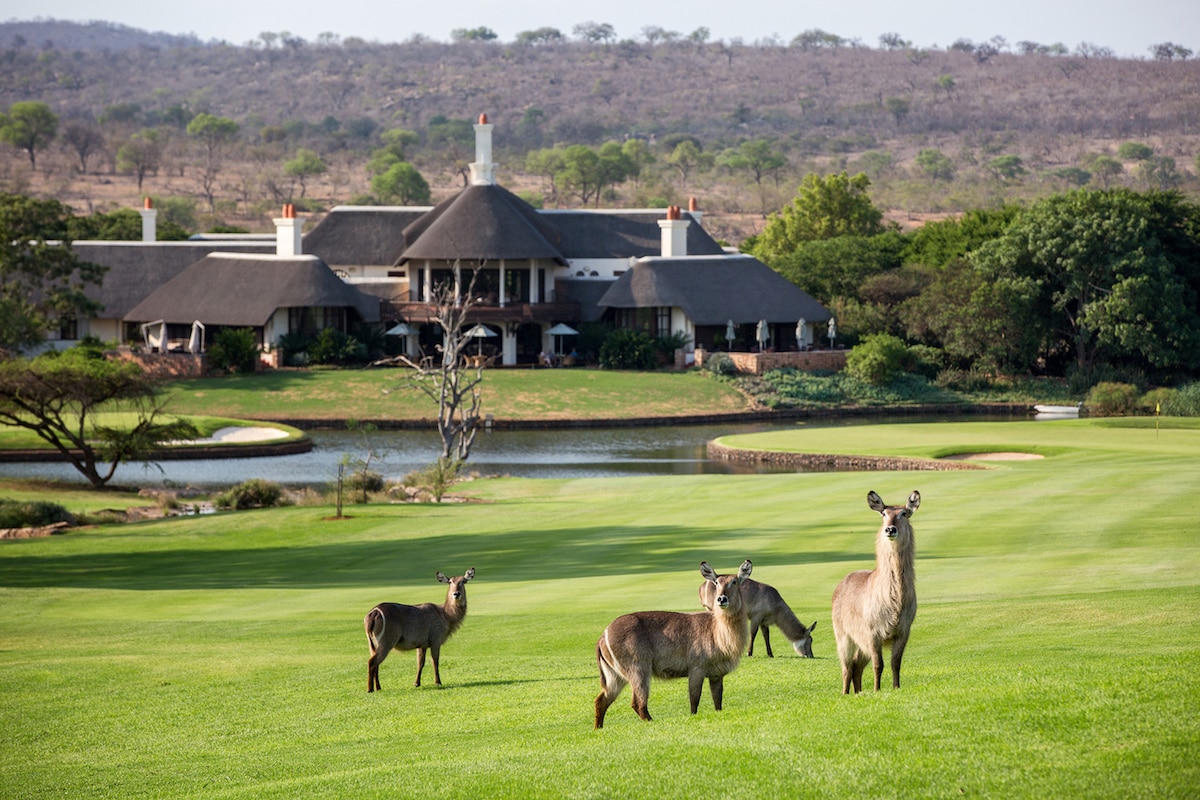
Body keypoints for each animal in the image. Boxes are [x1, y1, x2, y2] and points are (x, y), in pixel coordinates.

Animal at [592, 561, 748, 729]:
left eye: (735, 581)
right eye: (717, 582)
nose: (721, 599)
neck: (717, 632)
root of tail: (603, 636)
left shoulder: (716, 674)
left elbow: (718, 701)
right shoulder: (696, 668)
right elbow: (694, 699)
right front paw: (693, 717)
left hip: (615, 675)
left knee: (601, 700)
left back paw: (598, 729)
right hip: (638, 669)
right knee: (638, 703)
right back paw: (652, 722)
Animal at [830, 491, 921, 690]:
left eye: (904, 513)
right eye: (883, 513)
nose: (890, 529)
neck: (894, 602)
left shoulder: (903, 631)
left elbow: (895, 663)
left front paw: (896, 688)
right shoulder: (872, 632)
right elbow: (878, 664)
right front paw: (877, 689)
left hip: (860, 643)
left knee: (856, 666)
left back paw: (858, 692)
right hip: (843, 636)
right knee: (846, 668)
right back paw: (845, 693)